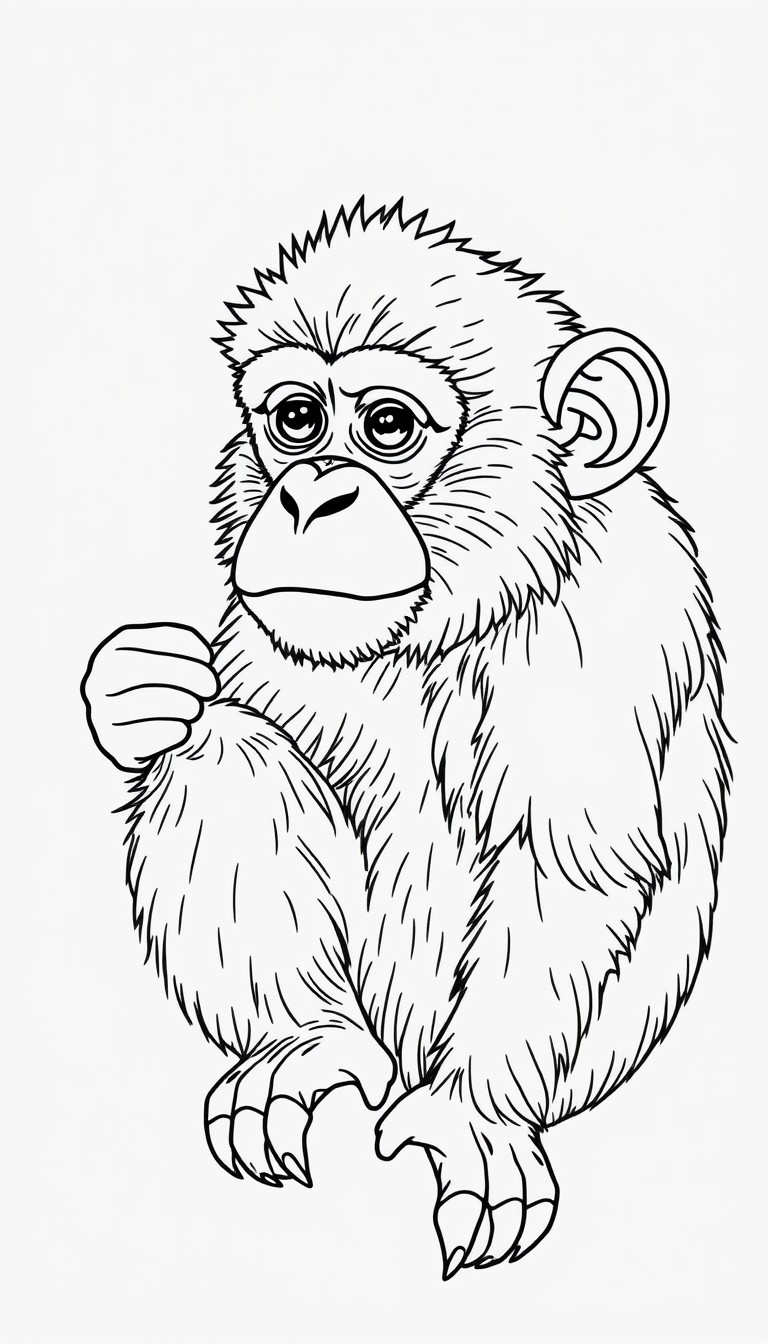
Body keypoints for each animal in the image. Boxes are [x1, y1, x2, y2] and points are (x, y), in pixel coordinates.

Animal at [82, 201, 730, 1278]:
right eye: (296, 420)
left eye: (387, 427)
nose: (310, 495)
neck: (451, 622)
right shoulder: (258, 628)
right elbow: (204, 716)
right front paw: (133, 687)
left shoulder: (612, 628)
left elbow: (570, 871)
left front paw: (479, 1120)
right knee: (222, 752)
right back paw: (307, 1044)